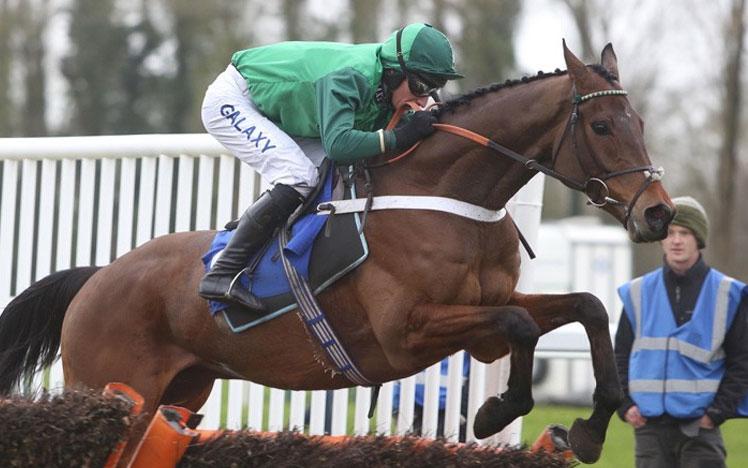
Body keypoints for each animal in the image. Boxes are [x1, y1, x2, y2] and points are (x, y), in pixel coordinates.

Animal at [0, 44, 672, 464]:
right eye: (603, 126)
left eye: (639, 121)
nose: (658, 213)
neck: (446, 196)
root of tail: (97, 278)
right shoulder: (406, 332)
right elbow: (518, 325)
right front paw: (494, 412)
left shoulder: (489, 311)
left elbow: (585, 308)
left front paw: (589, 429)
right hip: (111, 391)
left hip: (181, 393)